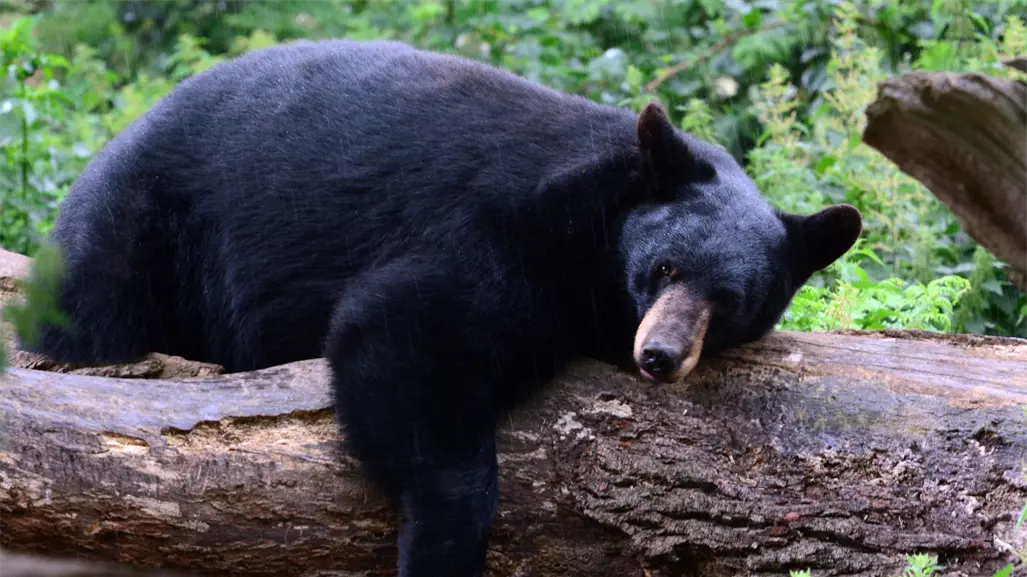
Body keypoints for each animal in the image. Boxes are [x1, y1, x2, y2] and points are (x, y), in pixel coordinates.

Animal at [27, 39, 862, 577]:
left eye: (729, 302)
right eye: (664, 266)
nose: (657, 356)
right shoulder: (498, 226)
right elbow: (405, 329)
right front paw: (442, 542)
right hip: (140, 226)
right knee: (93, 309)